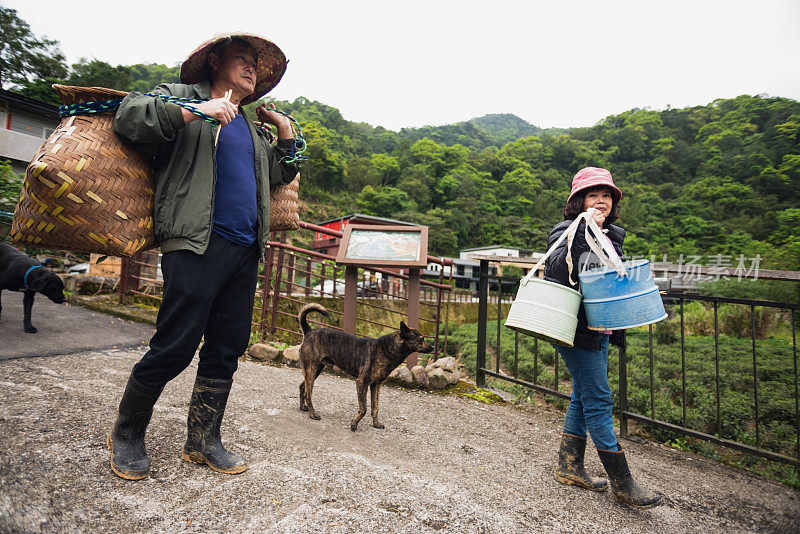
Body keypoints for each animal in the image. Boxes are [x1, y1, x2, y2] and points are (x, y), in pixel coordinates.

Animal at [296, 304, 432, 434]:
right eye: (421, 339)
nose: (432, 347)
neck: (387, 349)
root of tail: (309, 331)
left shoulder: (376, 385)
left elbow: (375, 407)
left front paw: (376, 423)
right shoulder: (362, 383)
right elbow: (364, 409)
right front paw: (354, 424)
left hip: (315, 370)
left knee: (303, 387)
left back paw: (303, 407)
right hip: (311, 369)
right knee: (309, 394)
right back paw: (313, 413)